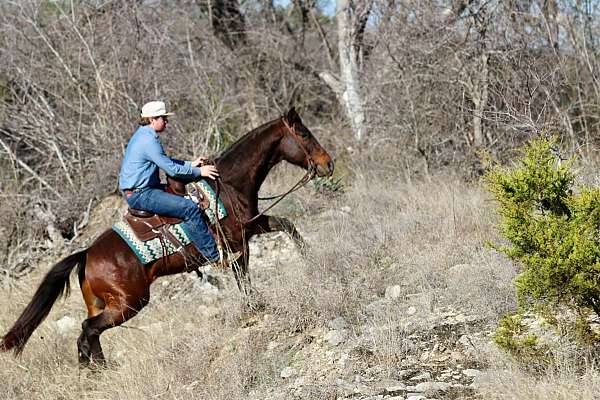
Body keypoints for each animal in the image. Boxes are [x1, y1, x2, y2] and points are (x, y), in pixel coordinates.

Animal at [0, 106, 332, 366]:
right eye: (304, 134)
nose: (328, 164)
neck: (228, 184)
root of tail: (87, 255)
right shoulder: (238, 241)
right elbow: (243, 275)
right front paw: (255, 306)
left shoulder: (252, 225)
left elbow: (287, 225)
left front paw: (309, 258)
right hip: (129, 303)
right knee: (88, 329)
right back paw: (98, 369)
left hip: (103, 303)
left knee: (87, 334)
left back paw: (95, 369)